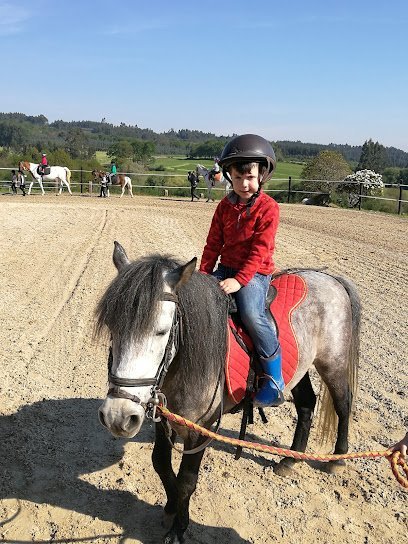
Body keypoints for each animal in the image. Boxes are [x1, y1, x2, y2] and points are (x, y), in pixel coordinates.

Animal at [96, 244, 360, 544]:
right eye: (112, 327)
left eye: (161, 332)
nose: (117, 417)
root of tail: (330, 278)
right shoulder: (164, 419)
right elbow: (161, 464)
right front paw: (171, 508)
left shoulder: (201, 429)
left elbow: (187, 480)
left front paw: (179, 528)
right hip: (300, 367)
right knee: (306, 405)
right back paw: (291, 459)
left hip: (333, 363)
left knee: (343, 404)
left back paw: (338, 459)